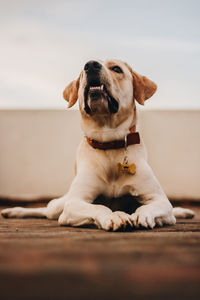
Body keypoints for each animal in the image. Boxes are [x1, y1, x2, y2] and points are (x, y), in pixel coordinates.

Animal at [1, 59, 195, 231]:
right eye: (82, 72)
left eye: (116, 69)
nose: (91, 65)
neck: (109, 142)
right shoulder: (74, 202)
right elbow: (99, 207)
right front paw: (115, 216)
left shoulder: (159, 199)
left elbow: (151, 206)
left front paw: (142, 215)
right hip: (59, 205)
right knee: (46, 210)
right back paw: (14, 211)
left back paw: (183, 212)